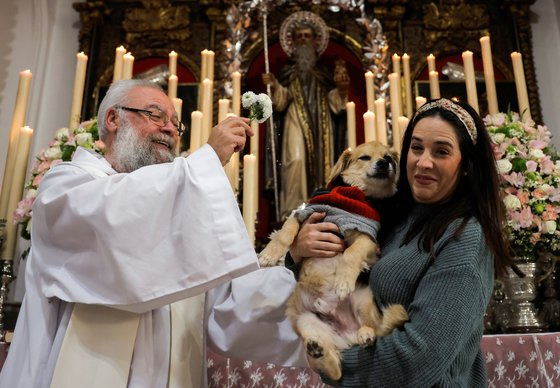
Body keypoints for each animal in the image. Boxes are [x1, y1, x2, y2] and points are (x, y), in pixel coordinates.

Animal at [260, 141, 410, 380]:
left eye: (388, 157)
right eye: (365, 158)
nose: (383, 163)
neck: (354, 194)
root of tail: (347, 336)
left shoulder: (366, 237)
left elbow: (351, 254)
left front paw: (343, 282)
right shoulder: (305, 213)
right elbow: (285, 233)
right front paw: (268, 254)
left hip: (364, 301)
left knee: (375, 330)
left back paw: (365, 333)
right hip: (306, 320)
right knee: (336, 370)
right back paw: (318, 351)